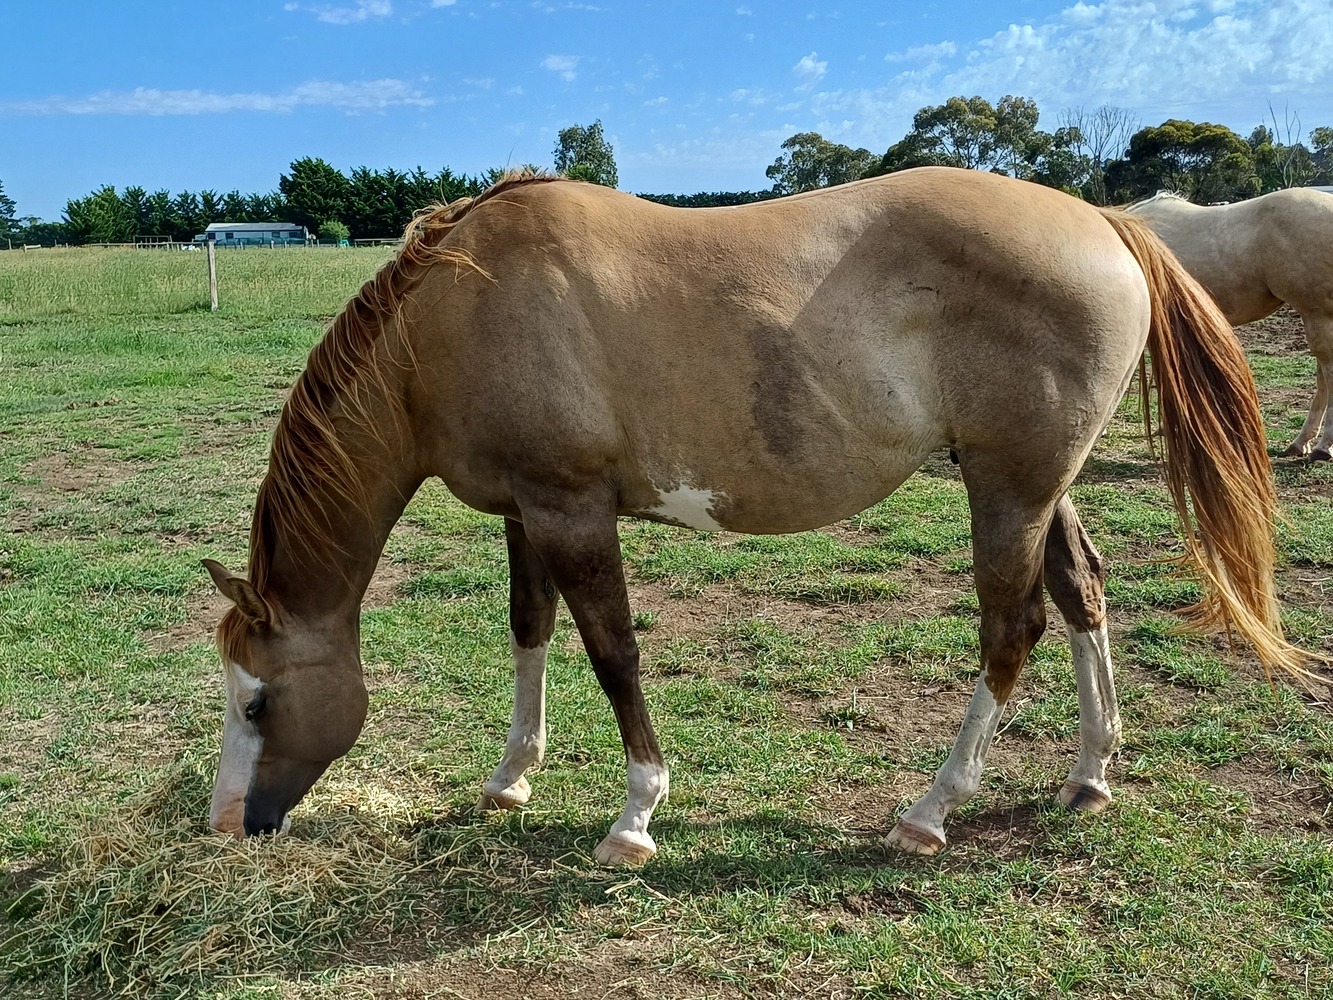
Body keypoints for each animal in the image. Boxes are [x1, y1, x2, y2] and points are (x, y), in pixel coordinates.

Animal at [202, 167, 1311, 866]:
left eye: (256, 703)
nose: (225, 822)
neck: (456, 313)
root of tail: (1102, 224)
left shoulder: (572, 509)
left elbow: (612, 651)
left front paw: (634, 815)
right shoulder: (523, 510)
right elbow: (529, 629)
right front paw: (511, 776)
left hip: (1005, 492)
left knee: (1013, 627)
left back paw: (929, 812)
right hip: (1038, 487)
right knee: (1081, 596)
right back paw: (1088, 773)